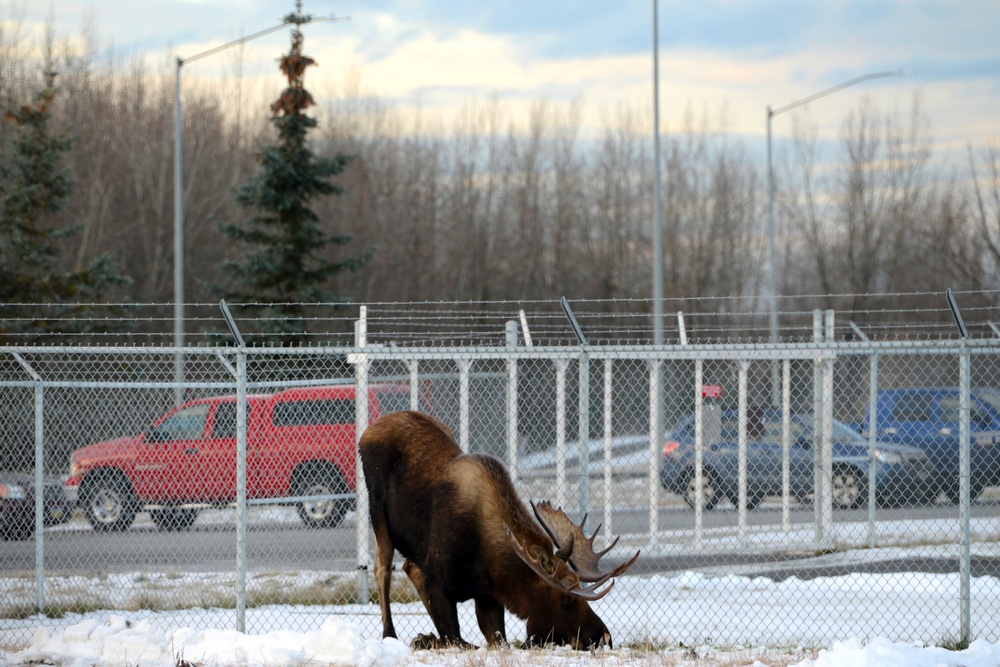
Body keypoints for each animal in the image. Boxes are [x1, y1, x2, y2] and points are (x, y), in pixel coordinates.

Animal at [360, 410, 640, 648]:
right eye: (568, 598)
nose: (603, 636)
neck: (488, 562)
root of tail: (367, 432)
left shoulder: (488, 597)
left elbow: (495, 641)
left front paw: (427, 638)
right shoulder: (438, 583)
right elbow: (457, 640)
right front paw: (424, 639)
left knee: (409, 566)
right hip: (377, 510)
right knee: (383, 568)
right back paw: (390, 634)